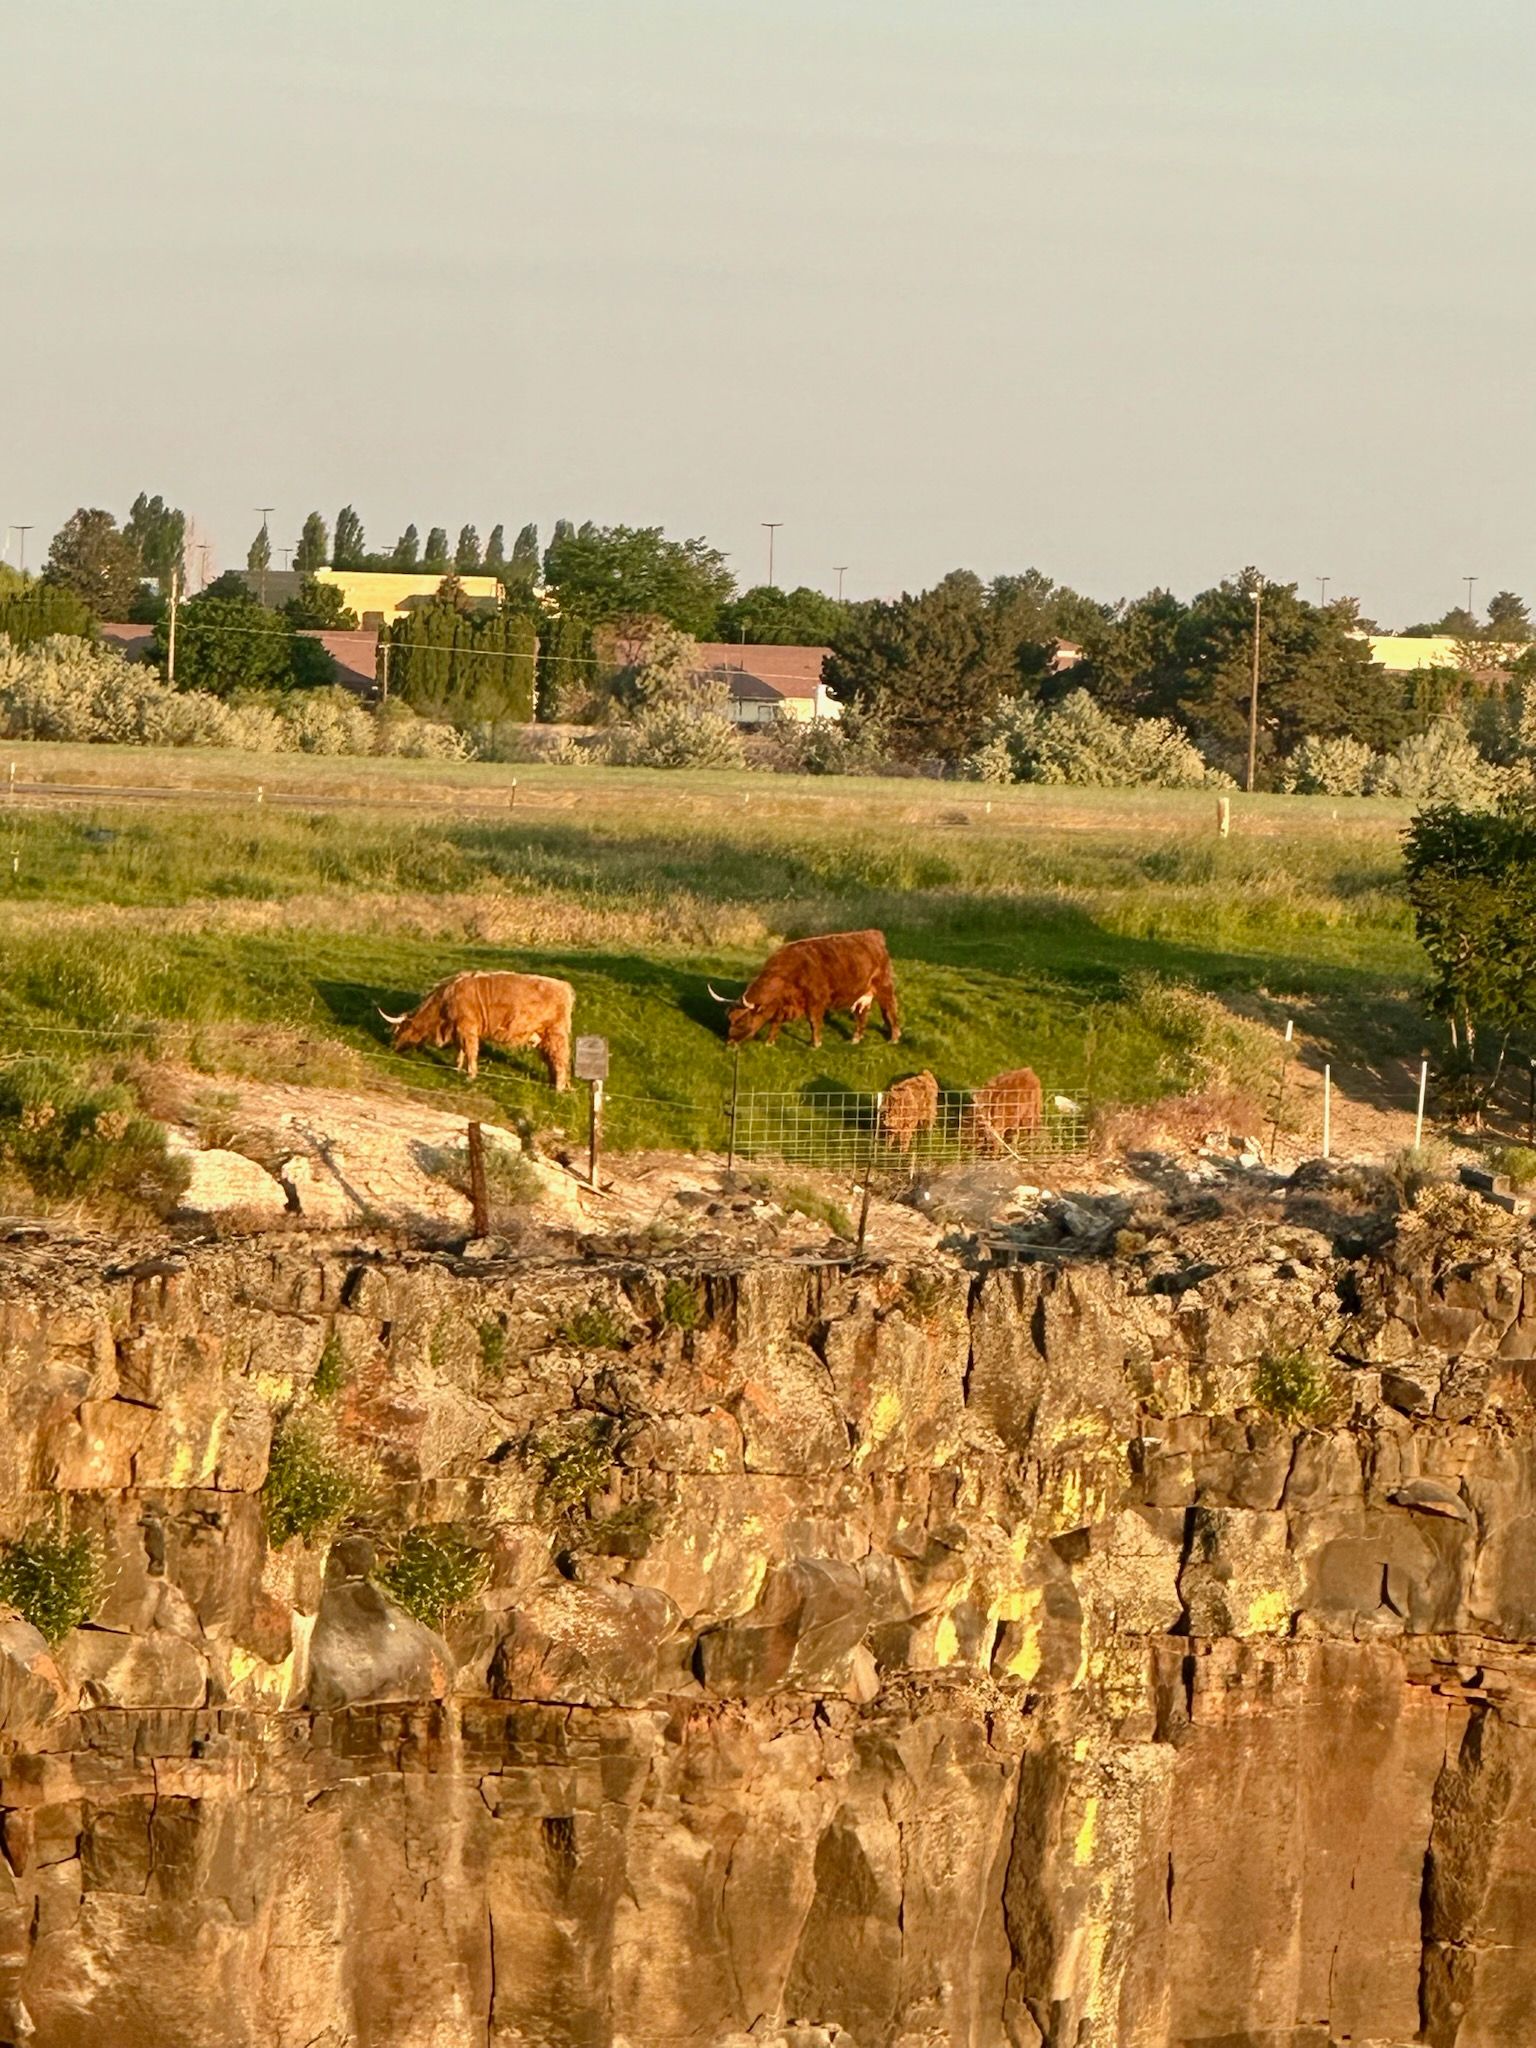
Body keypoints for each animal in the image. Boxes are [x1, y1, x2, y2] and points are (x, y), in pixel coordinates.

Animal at [378, 971, 574, 1087]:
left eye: (398, 1030)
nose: (392, 1046)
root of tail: (564, 986)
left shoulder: (467, 1027)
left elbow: (471, 1050)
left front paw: (470, 1075)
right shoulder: (458, 1028)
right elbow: (461, 1049)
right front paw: (457, 1067)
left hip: (555, 1034)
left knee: (560, 1060)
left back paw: (558, 1088)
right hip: (544, 1037)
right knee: (552, 1060)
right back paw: (552, 1083)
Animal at [709, 929, 901, 1048]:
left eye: (741, 1021)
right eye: (729, 1018)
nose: (729, 1042)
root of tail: (873, 934)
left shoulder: (816, 1002)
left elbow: (814, 1023)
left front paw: (815, 1044)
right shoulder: (781, 1007)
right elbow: (775, 1023)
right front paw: (769, 1042)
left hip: (884, 987)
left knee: (890, 1011)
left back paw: (894, 1038)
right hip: (862, 996)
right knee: (862, 1015)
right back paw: (855, 1039)